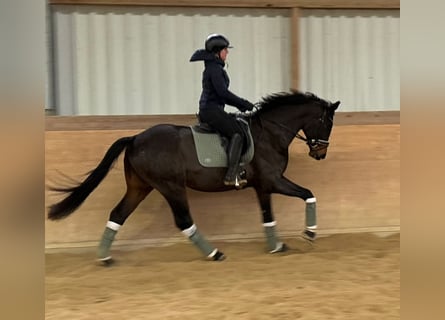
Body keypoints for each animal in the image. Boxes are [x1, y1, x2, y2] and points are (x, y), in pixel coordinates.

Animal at [48, 90, 338, 262]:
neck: (269, 133)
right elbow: (308, 194)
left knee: (118, 214)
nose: (320, 153)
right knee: (183, 220)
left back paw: (104, 257)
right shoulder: (273, 181)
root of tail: (135, 138)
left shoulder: (262, 186)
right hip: (171, 187)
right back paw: (214, 253)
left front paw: (276, 245)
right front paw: (309, 234)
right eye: (326, 122)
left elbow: (268, 216)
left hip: (140, 187)